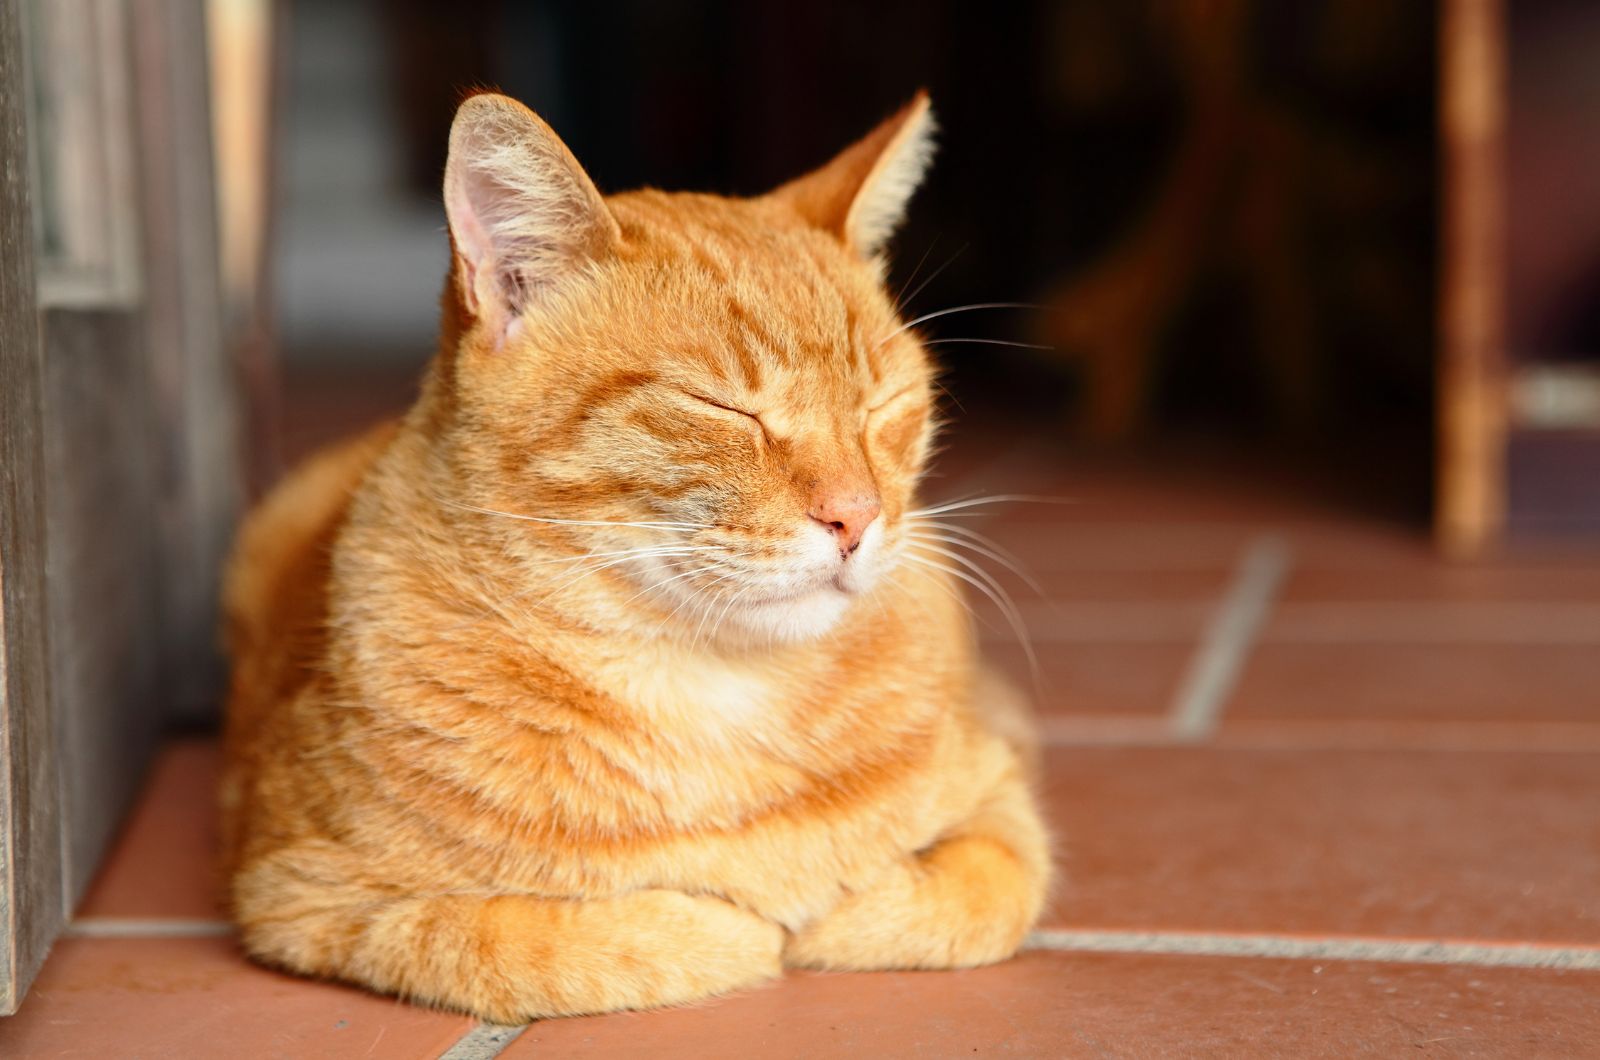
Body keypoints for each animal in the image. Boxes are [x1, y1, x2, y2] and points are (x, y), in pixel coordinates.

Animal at [222, 91, 1049, 1024]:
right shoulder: (305, 897)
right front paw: (734, 928)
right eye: (723, 408)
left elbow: (966, 898)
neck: (716, 690)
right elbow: (573, 946)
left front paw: (834, 910)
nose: (858, 516)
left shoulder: (1002, 806)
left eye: (886, 405)